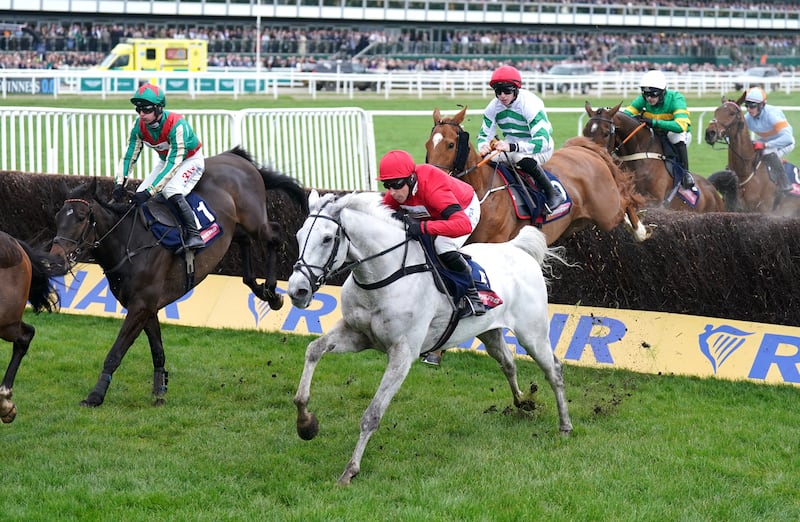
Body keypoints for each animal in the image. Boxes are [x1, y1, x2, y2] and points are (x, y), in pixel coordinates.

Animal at [50, 146, 306, 406]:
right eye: (58, 217)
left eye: (81, 216)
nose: (55, 259)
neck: (130, 244)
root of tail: (234, 156)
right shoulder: (146, 307)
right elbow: (157, 350)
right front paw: (159, 389)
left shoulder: (141, 305)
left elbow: (115, 352)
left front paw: (95, 395)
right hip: (234, 227)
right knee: (244, 241)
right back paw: (257, 287)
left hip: (254, 219)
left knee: (274, 235)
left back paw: (273, 292)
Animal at [286, 190, 568, 484]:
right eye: (299, 235)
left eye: (327, 238)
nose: (297, 290)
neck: (383, 275)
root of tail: (517, 249)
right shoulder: (356, 335)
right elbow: (313, 350)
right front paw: (306, 424)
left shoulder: (402, 353)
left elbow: (372, 414)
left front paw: (350, 470)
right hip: (489, 332)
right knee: (508, 363)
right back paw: (523, 402)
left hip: (532, 333)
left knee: (554, 370)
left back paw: (564, 426)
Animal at [424, 106, 648, 246]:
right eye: (427, 145)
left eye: (450, 144)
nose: (434, 178)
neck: (484, 191)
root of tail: (586, 149)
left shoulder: (497, 242)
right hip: (576, 222)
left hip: (607, 212)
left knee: (626, 201)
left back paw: (639, 230)